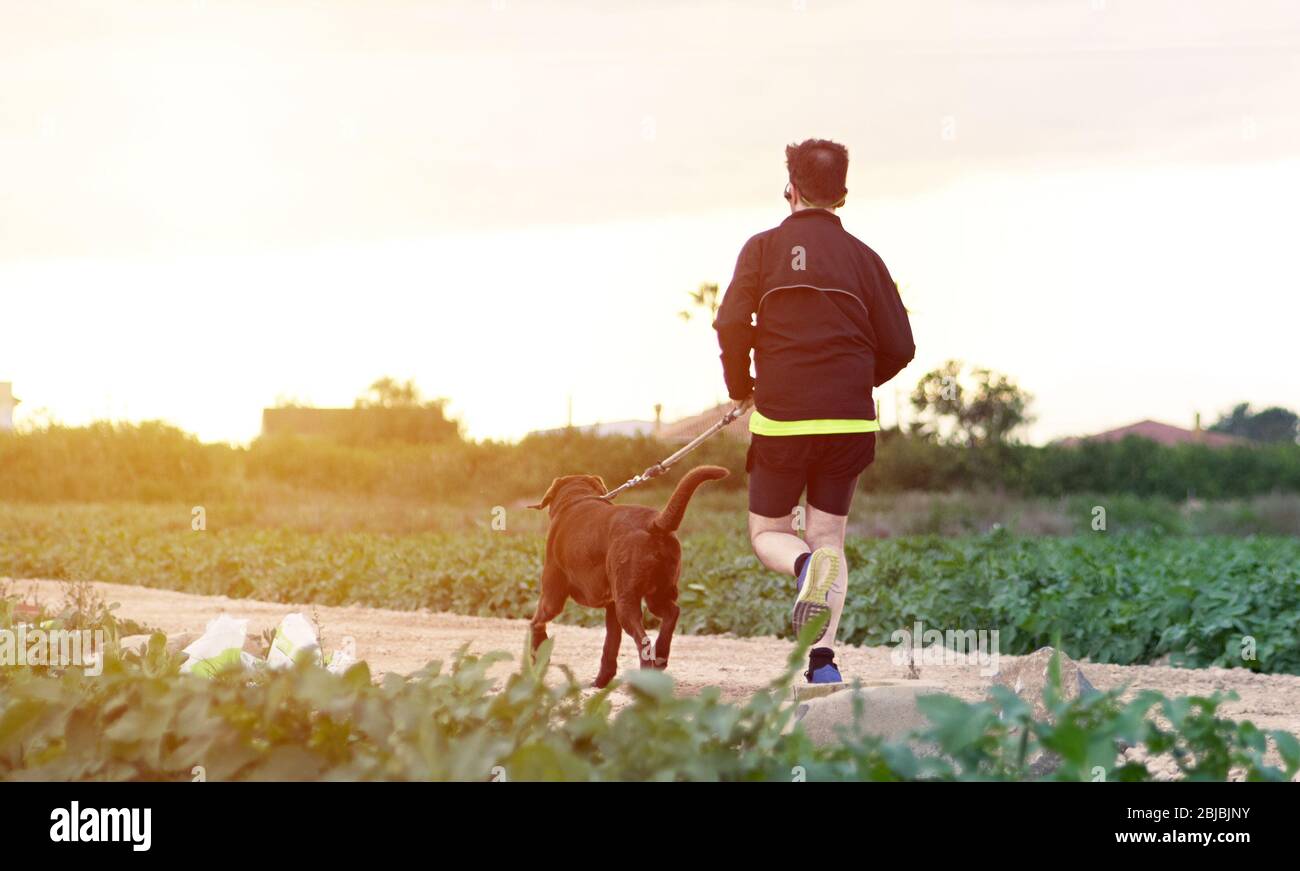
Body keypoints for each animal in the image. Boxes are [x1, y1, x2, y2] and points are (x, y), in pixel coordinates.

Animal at [527, 462, 733, 691]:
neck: (577, 496)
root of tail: (653, 523)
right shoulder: (612, 604)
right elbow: (611, 643)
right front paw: (601, 681)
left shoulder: (552, 596)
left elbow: (536, 622)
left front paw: (537, 657)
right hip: (655, 594)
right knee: (672, 613)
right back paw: (661, 656)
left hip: (627, 603)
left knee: (644, 641)